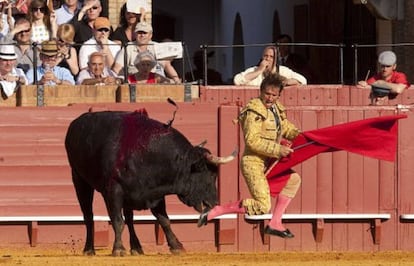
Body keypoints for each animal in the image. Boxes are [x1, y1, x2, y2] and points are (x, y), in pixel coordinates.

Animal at [63, 110, 234, 256]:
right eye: (206, 172)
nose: (214, 203)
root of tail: (76, 124)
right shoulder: (113, 191)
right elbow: (117, 220)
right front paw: (118, 249)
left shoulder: (155, 193)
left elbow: (164, 220)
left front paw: (177, 247)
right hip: (79, 179)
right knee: (88, 215)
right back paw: (89, 249)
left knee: (129, 218)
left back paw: (136, 248)